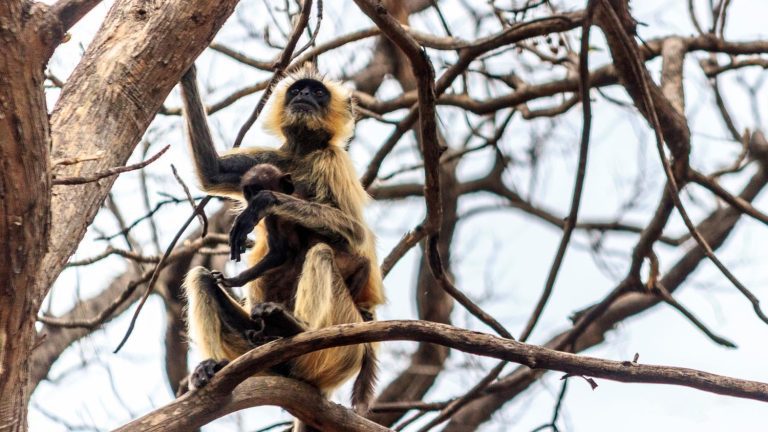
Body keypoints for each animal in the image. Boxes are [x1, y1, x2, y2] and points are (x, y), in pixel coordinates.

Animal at [179, 65, 384, 422]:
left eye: (318, 93)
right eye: (298, 90)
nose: (304, 96)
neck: (304, 154)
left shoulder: (332, 160)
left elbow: (355, 234)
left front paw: (265, 201)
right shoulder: (277, 157)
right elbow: (212, 172)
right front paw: (186, 70)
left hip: (341, 342)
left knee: (321, 251)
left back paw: (295, 327)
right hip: (258, 345)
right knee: (201, 277)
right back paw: (212, 366)